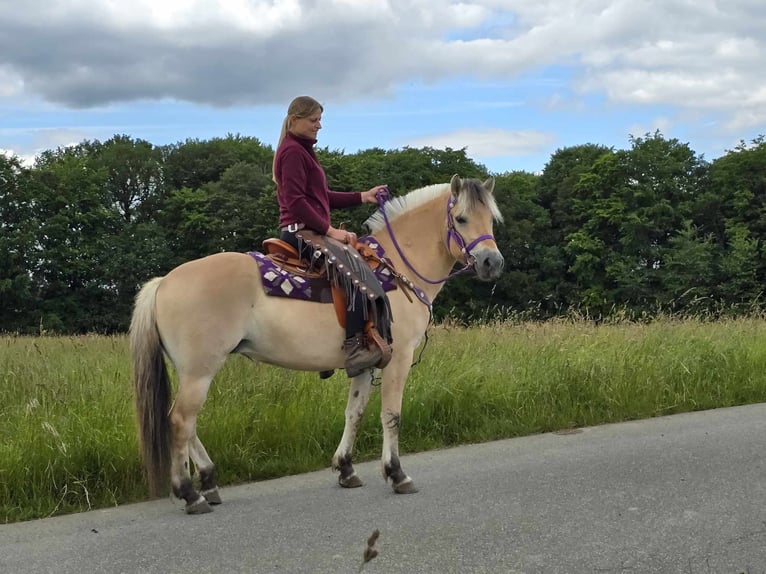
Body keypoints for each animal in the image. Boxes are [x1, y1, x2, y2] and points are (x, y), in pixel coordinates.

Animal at [130, 173, 508, 516]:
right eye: (461, 218)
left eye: (490, 219)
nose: (492, 263)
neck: (397, 270)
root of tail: (163, 282)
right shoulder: (398, 357)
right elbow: (391, 415)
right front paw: (396, 473)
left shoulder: (367, 362)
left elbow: (354, 412)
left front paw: (346, 468)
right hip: (200, 371)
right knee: (181, 420)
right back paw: (189, 493)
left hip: (193, 371)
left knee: (183, 423)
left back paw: (208, 482)